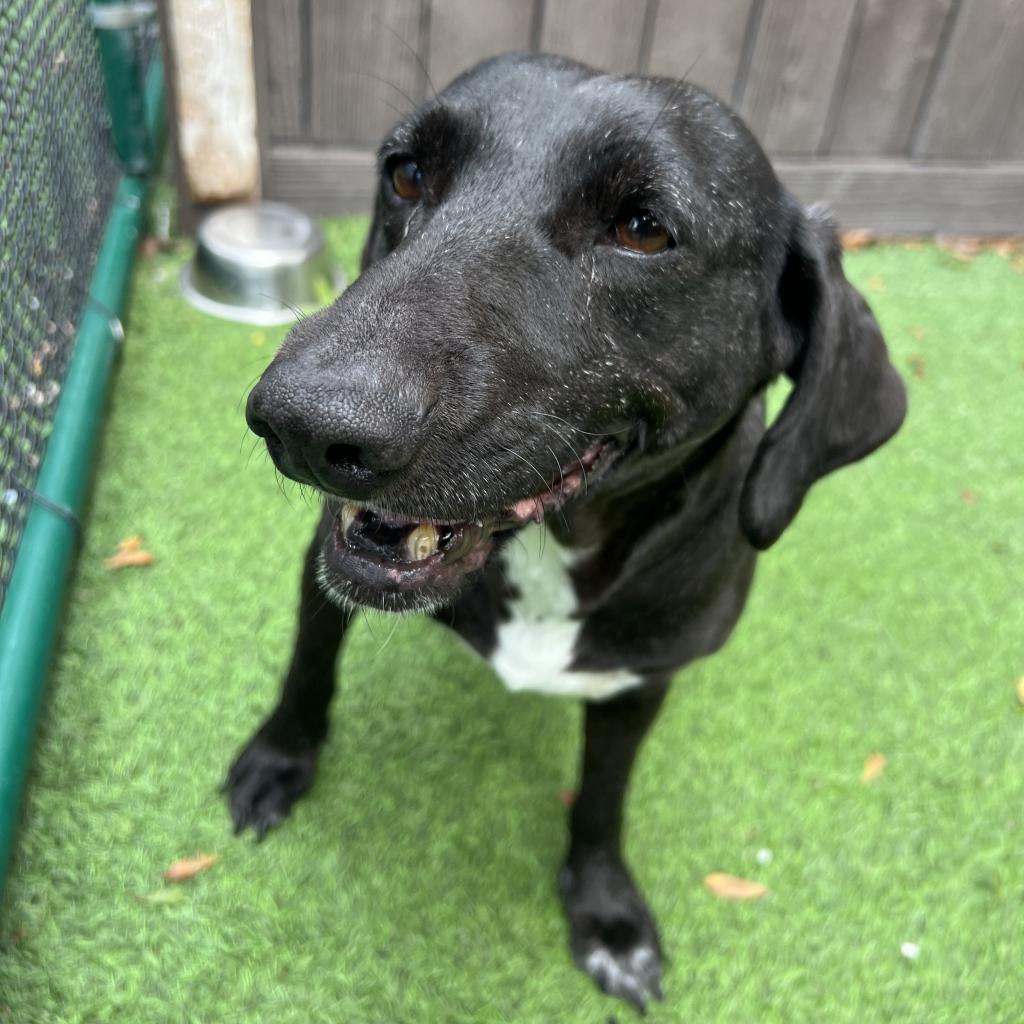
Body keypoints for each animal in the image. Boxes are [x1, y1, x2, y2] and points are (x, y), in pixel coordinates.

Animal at [230, 54, 905, 1007]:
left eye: (644, 230)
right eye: (407, 174)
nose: (300, 425)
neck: (552, 555)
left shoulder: (640, 682)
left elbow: (603, 797)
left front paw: (605, 909)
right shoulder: (323, 572)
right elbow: (307, 669)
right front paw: (279, 759)